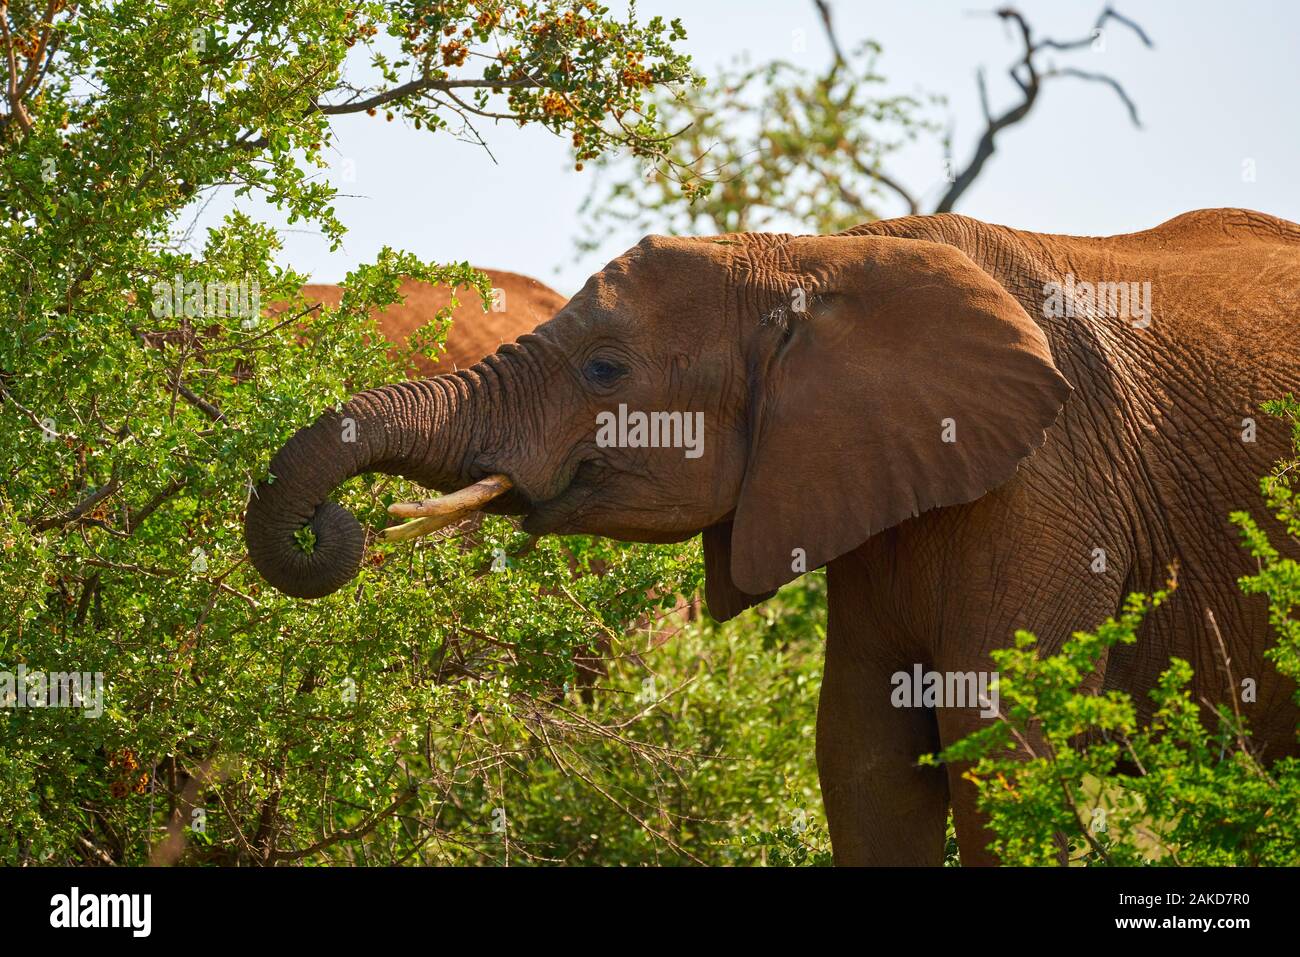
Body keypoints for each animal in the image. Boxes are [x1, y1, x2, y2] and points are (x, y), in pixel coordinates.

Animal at [244, 209, 1300, 868]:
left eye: (604, 368)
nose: (332, 524)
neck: (815, 257)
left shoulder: (1056, 485)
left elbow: (996, 750)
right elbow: (865, 759)